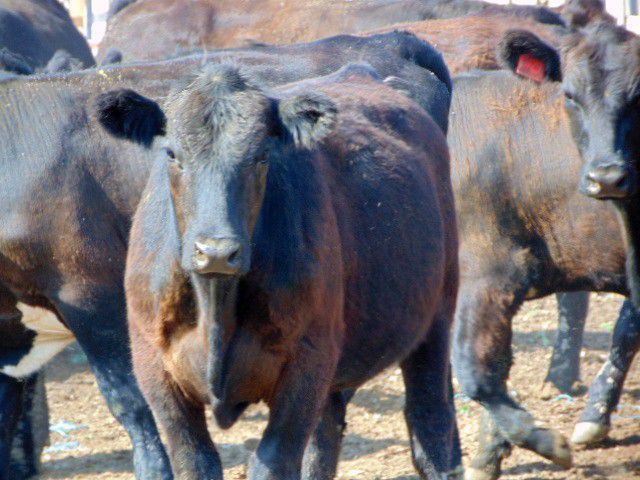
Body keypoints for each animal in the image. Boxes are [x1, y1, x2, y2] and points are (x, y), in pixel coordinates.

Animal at [0, 31, 451, 479]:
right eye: (171, 153)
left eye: (263, 156)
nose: (215, 251)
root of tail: (383, 46)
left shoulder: (90, 296)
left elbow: (133, 407)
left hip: (430, 318)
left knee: (430, 415)